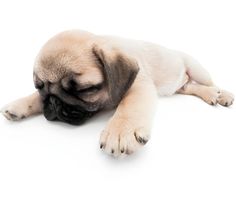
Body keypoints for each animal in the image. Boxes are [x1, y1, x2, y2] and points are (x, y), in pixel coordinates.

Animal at [1, 29, 234, 157]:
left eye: (84, 90)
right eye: (39, 87)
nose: (54, 104)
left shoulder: (139, 84)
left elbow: (128, 107)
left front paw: (120, 132)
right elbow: (34, 99)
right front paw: (19, 106)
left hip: (197, 68)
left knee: (208, 82)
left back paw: (220, 94)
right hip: (181, 85)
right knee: (189, 87)